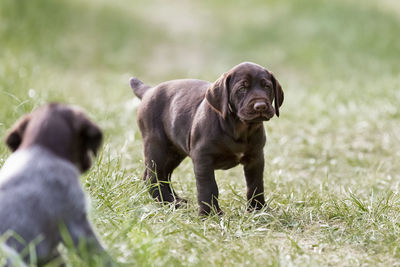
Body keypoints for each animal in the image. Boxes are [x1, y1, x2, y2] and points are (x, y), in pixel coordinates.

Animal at [130, 62, 282, 216]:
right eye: (242, 89)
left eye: (267, 86)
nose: (260, 106)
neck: (239, 128)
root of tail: (149, 91)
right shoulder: (203, 159)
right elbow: (209, 187)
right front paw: (210, 214)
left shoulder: (255, 158)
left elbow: (255, 185)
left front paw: (258, 209)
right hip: (157, 146)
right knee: (153, 178)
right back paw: (171, 203)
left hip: (174, 152)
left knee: (161, 175)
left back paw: (176, 200)